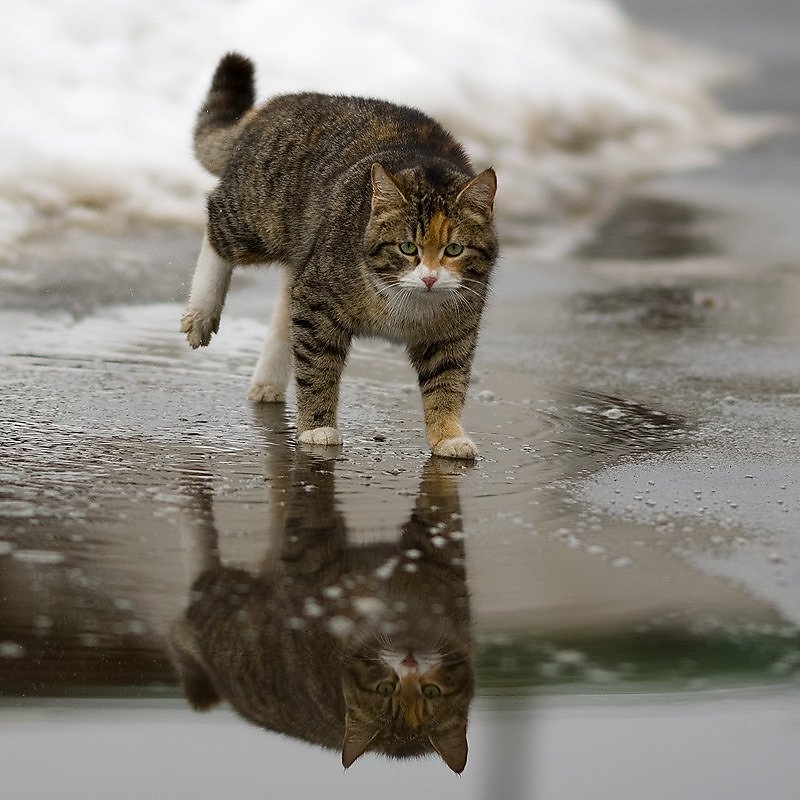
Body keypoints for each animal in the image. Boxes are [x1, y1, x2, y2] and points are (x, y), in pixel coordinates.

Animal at [167, 446, 468, 772]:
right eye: (384, 688)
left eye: (432, 692)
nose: (410, 661)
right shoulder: (308, 559)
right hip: (220, 608)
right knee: (184, 620)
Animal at [180, 53, 500, 460]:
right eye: (407, 247)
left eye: (454, 249)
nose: (429, 277)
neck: (407, 309)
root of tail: (278, 104)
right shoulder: (317, 302)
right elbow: (317, 369)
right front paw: (318, 428)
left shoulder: (454, 333)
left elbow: (446, 383)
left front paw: (448, 435)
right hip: (260, 216)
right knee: (216, 222)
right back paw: (202, 312)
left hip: (303, 253)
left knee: (283, 312)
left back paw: (268, 380)